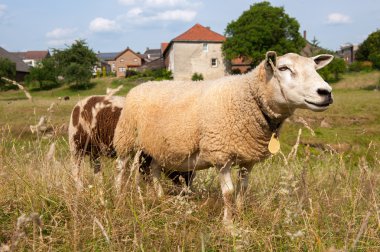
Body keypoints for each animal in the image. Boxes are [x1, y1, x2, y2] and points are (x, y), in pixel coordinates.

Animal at [114, 51, 334, 224]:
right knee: (121, 169)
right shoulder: (221, 155)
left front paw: (241, 215)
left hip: (159, 145)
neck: (249, 97)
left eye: (315, 68)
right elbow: (228, 193)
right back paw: (119, 197)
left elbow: (243, 189)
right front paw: (228, 224)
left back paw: (160, 197)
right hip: (126, 137)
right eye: (284, 68)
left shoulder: (248, 158)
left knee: (154, 170)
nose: (326, 92)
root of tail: (143, 84)